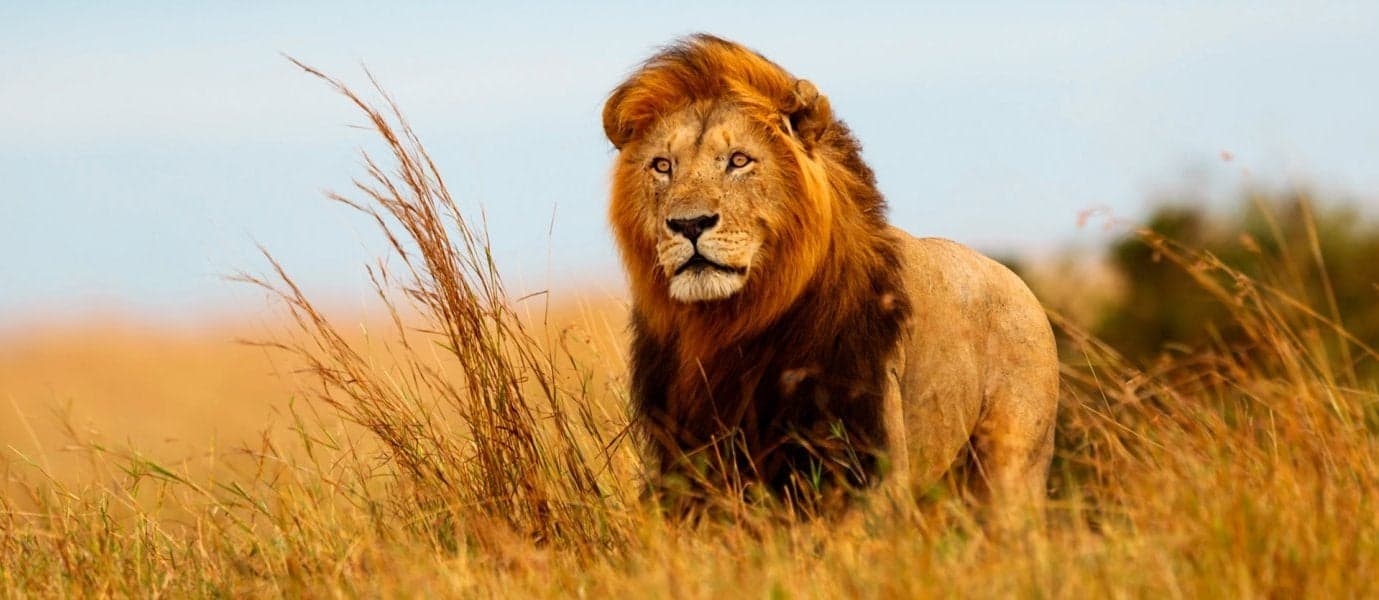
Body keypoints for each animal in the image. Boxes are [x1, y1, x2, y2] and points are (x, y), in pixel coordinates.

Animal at [602, 34, 1058, 517]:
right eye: (662, 166)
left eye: (739, 160)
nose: (689, 224)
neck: (729, 323)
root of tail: (1020, 285)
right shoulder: (687, 459)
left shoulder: (867, 457)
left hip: (1012, 468)